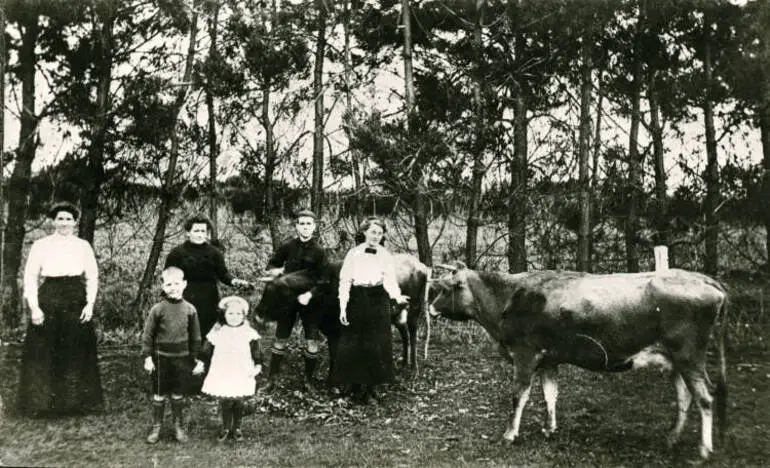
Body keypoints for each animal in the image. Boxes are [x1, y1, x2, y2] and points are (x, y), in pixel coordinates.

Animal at [255, 252, 428, 388]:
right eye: (266, 290)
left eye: (277, 293)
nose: (257, 313)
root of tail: (422, 266)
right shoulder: (329, 328)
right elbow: (333, 355)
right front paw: (331, 380)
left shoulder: (339, 329)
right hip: (397, 315)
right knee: (405, 334)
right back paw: (404, 364)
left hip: (415, 309)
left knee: (413, 336)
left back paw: (414, 370)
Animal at [428, 264, 728, 460]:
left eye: (445, 288)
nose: (429, 308)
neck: (508, 297)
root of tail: (703, 279)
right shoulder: (549, 359)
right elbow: (550, 394)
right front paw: (549, 428)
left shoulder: (525, 354)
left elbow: (519, 396)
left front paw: (509, 434)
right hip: (676, 359)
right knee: (684, 397)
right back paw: (671, 438)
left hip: (689, 356)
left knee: (705, 398)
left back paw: (704, 450)